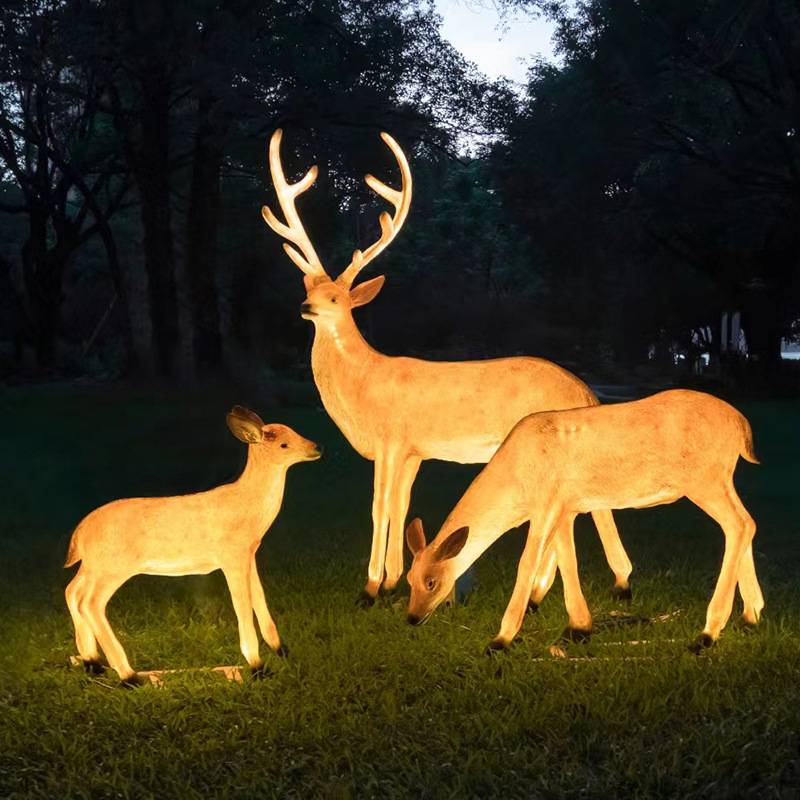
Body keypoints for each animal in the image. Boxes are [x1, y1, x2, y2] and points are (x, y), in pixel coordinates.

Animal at [64, 406, 321, 685]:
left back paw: (92, 663)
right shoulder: (231, 556)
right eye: (284, 444)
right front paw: (257, 666)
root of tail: (79, 533)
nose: (317, 447)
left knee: (73, 591)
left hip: (93, 566)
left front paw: (281, 651)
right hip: (114, 567)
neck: (247, 505)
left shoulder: (249, 554)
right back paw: (129, 676)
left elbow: (259, 597)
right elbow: (241, 605)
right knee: (91, 602)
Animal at [261, 128, 635, 607]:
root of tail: (585, 391)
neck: (361, 385)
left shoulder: (392, 439)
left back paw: (573, 588)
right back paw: (565, 589)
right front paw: (393, 580)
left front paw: (369, 587)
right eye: (308, 288)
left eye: (337, 299)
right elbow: (401, 504)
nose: (306, 307)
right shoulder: (414, 451)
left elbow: (379, 505)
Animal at [404, 389, 763, 655]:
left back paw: (708, 634)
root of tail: (742, 426)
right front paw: (578, 628)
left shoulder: (545, 503)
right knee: (746, 523)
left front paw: (500, 640)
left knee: (738, 525)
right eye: (409, 579)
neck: (515, 480)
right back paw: (750, 617)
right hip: (721, 478)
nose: (412, 617)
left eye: (431, 582)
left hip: (703, 479)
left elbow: (527, 563)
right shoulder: (565, 507)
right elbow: (567, 560)